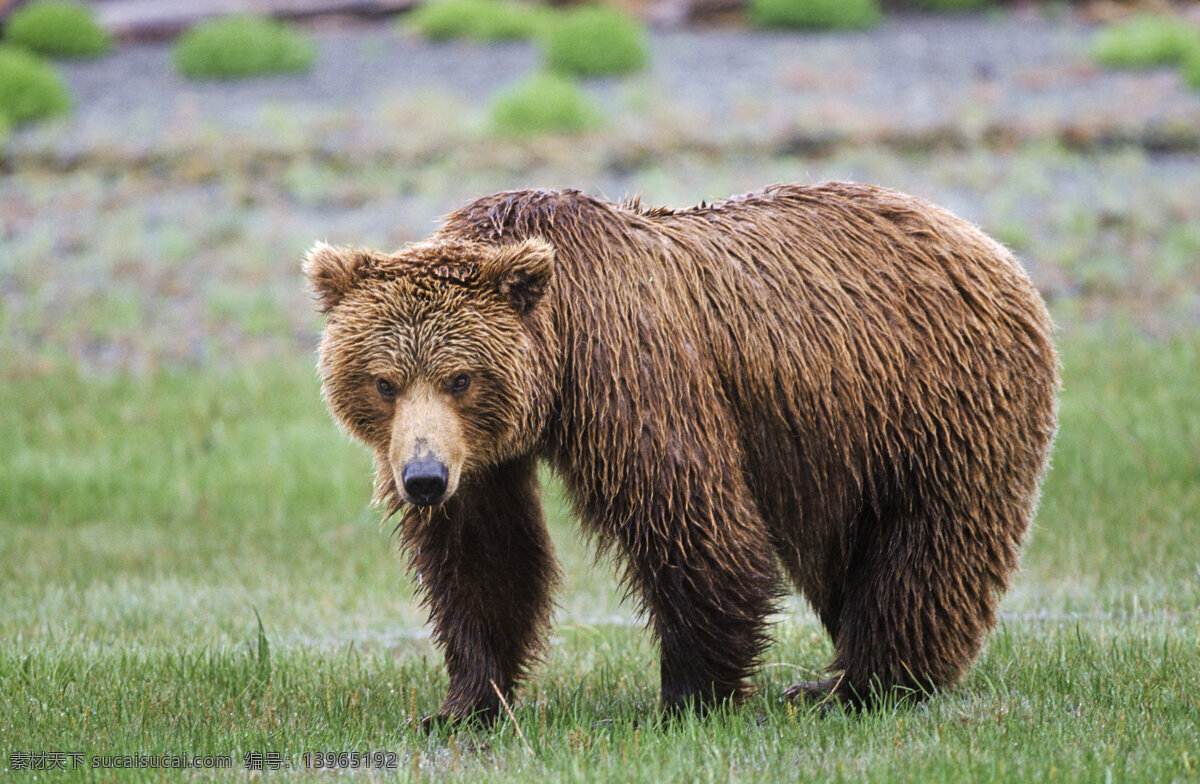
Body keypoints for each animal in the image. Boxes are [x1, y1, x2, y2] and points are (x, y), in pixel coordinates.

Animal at [304, 182, 1059, 722]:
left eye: (460, 378)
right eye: (384, 381)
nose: (424, 479)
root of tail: (988, 244)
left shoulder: (628, 369)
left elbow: (690, 520)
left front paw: (685, 700)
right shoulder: (482, 456)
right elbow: (483, 560)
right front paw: (460, 704)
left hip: (938, 401)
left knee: (929, 546)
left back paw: (858, 686)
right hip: (838, 441)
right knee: (842, 550)